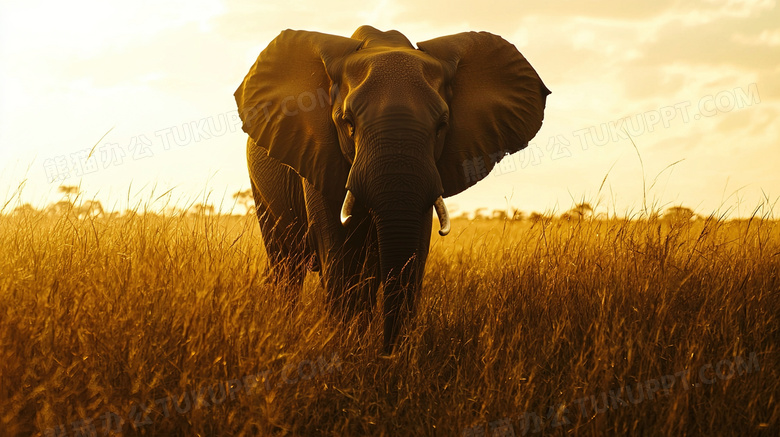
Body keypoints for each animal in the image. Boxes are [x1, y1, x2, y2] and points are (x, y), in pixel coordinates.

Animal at [232, 24, 548, 354]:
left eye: (442, 126)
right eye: (348, 124)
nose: (386, 352)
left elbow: (413, 258)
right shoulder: (319, 157)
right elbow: (341, 260)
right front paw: (350, 352)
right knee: (286, 266)